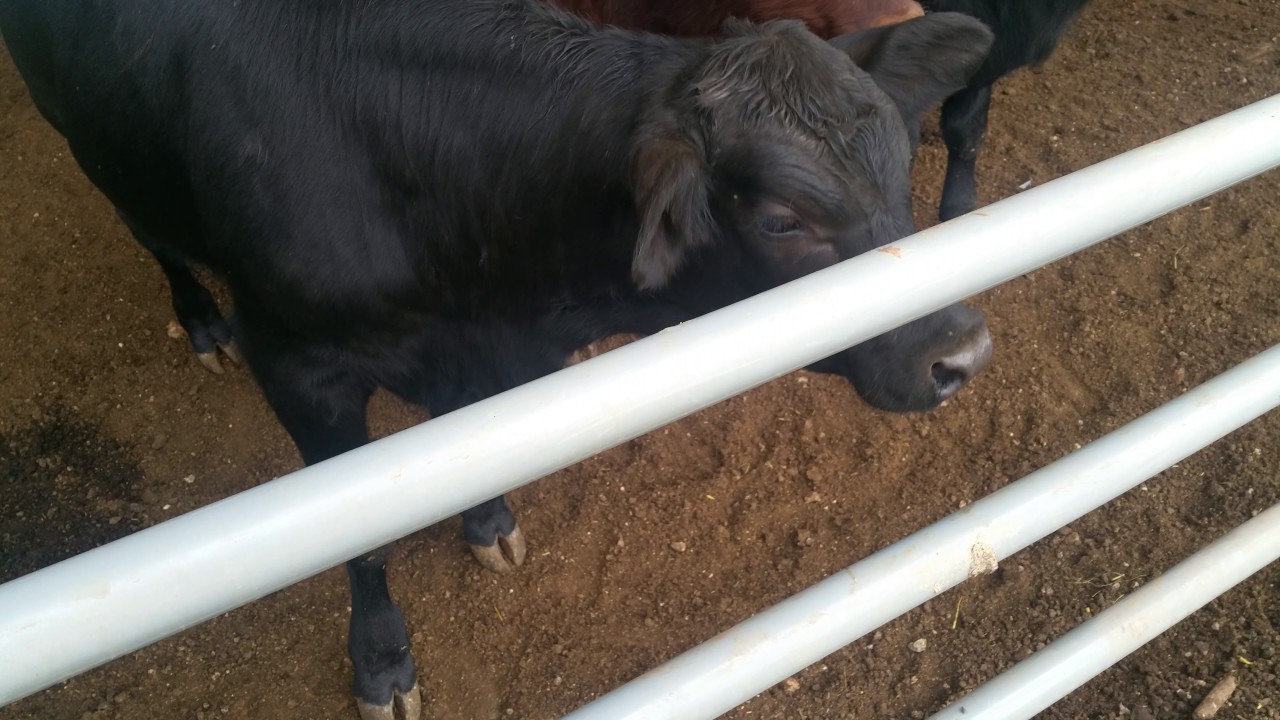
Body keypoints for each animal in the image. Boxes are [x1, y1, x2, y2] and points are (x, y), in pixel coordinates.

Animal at [0, 1, 994, 717]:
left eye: (898, 162)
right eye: (784, 221)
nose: (963, 352)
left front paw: (485, 520)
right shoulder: (299, 368)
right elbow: (358, 537)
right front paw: (381, 663)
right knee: (149, 232)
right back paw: (199, 321)